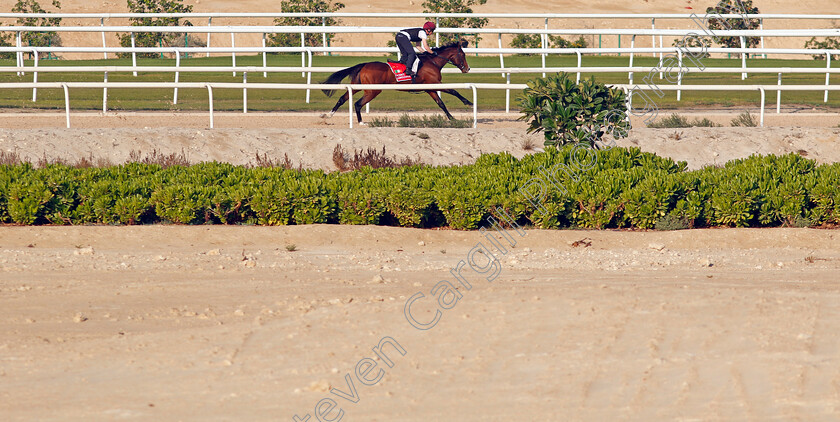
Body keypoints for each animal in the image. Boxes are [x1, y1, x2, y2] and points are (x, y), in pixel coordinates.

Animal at [320, 39, 470, 124]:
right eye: (463, 55)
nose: (467, 69)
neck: (432, 62)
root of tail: (364, 65)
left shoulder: (429, 88)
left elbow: (441, 103)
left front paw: (452, 118)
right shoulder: (434, 83)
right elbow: (453, 90)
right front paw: (468, 102)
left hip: (358, 86)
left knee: (342, 98)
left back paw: (328, 115)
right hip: (373, 90)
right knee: (357, 104)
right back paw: (361, 122)